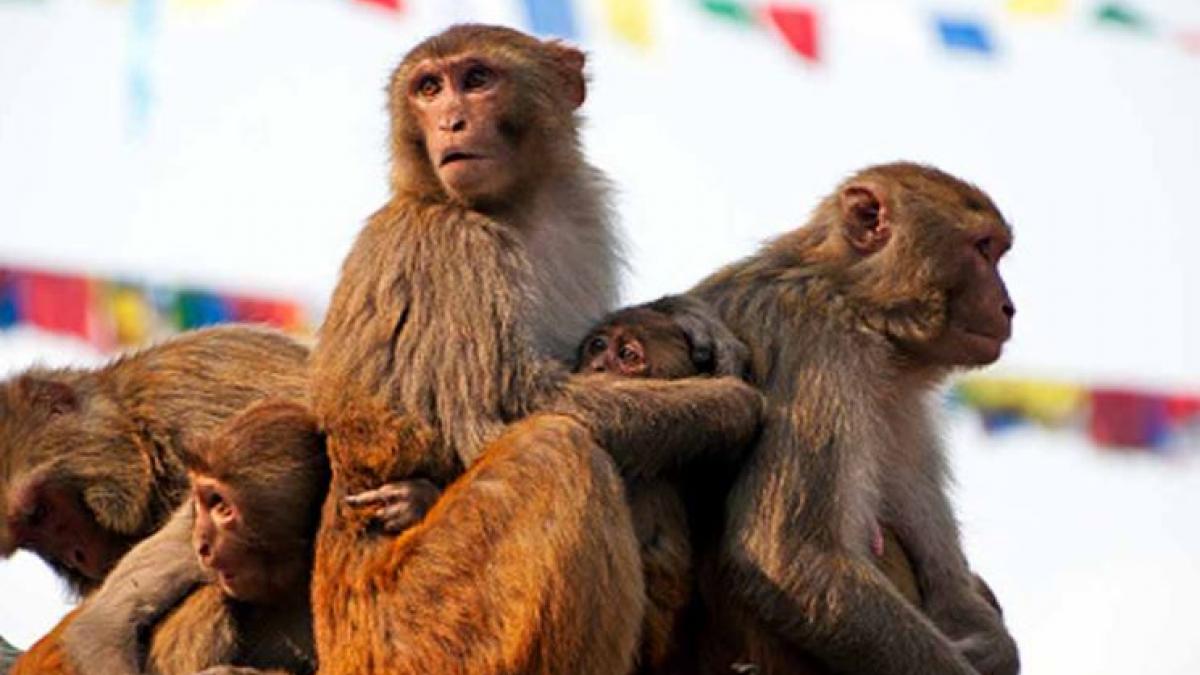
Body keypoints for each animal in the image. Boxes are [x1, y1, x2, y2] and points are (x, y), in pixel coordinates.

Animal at [681, 162, 1020, 675]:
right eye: (983, 249)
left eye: (997, 252)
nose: (1008, 307)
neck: (853, 299)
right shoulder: (818, 347)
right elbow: (794, 557)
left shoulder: (899, 400)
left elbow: (948, 582)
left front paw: (994, 646)